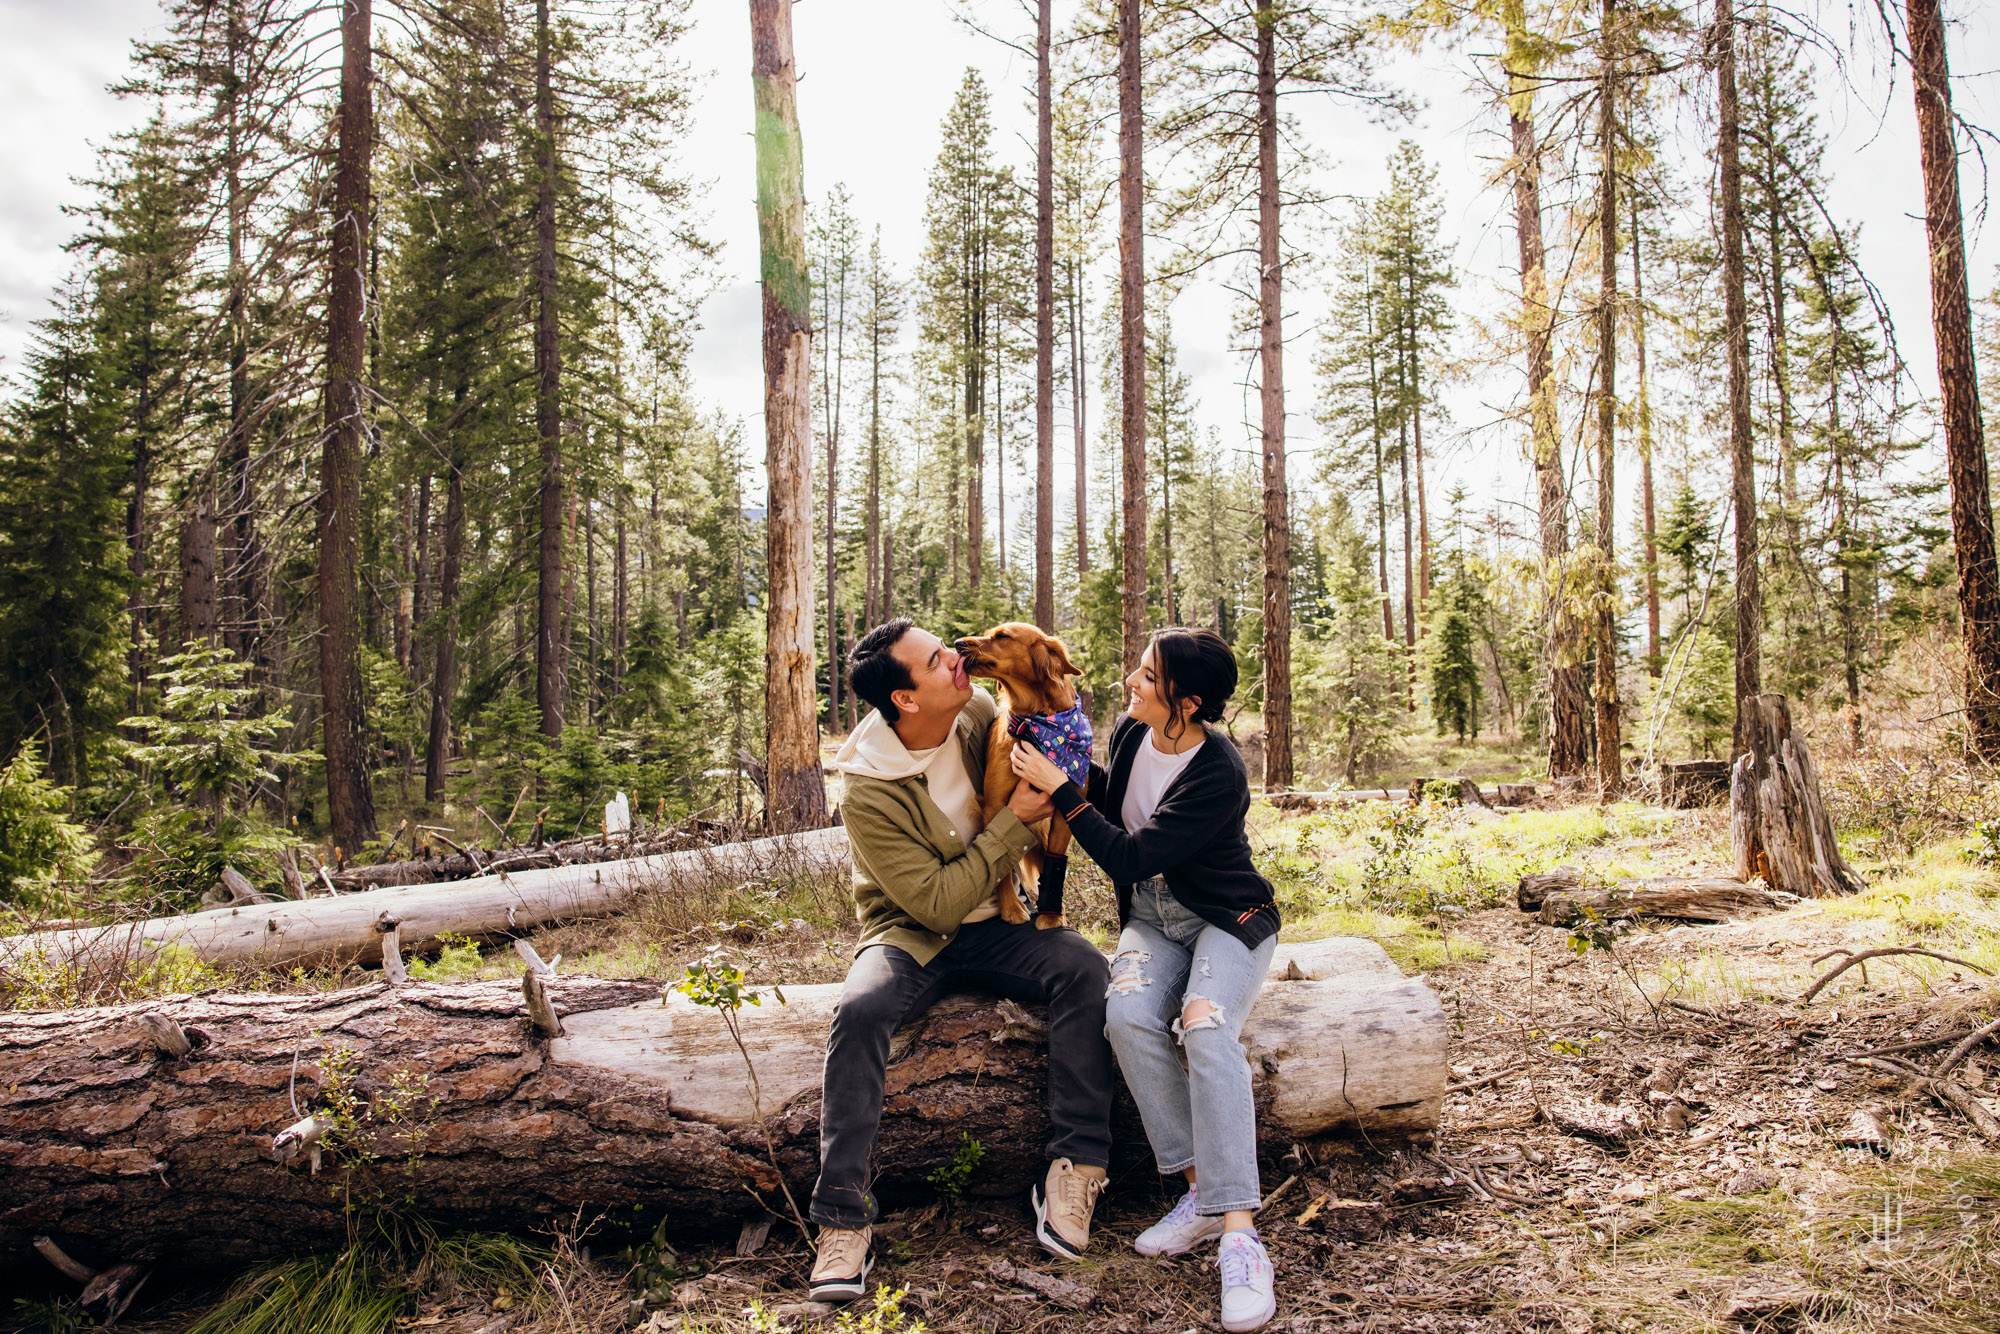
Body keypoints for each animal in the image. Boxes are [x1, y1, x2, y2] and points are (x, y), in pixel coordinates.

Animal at [956, 624, 1088, 928]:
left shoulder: (1064, 812)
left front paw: (1051, 916)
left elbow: (1055, 862)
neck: (1036, 723)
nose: (956, 643)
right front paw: (1012, 909)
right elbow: (1001, 866)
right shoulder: (995, 805)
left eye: (1002, 636)